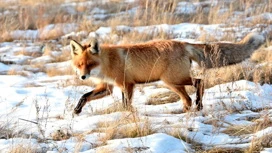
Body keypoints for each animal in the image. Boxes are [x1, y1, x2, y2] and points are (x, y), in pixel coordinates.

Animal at [70, 32, 264, 114]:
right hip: (173, 83)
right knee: (188, 97)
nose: (83, 76)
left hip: (172, 80)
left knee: (199, 82)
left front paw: (126, 115)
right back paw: (187, 110)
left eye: (90, 64)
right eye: (80, 65)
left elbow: (126, 104)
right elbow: (84, 96)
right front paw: (77, 110)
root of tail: (183, 43)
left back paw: (199, 106)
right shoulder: (108, 87)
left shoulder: (127, 84)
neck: (108, 62)